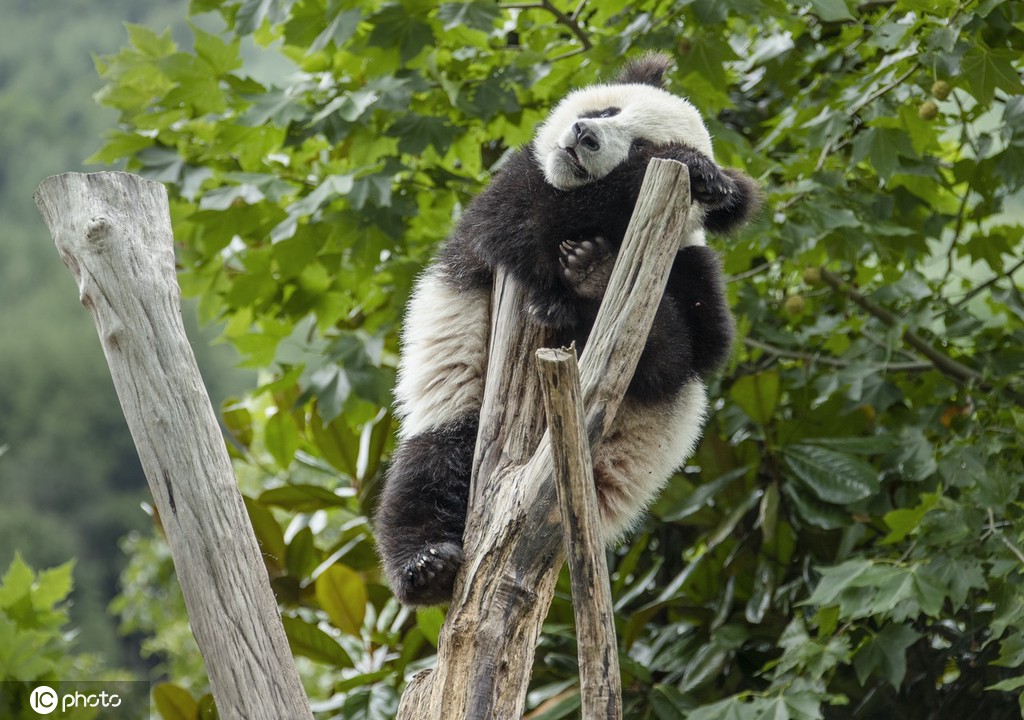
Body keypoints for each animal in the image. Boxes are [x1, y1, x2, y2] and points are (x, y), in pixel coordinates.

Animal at [372, 53, 757, 606]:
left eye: (639, 143)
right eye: (608, 109)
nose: (584, 134)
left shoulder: (690, 266)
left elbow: (695, 352)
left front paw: (697, 173)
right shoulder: (509, 191)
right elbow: (525, 214)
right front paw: (695, 169)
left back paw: (597, 277)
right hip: (457, 404)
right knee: (427, 471)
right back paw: (426, 567)